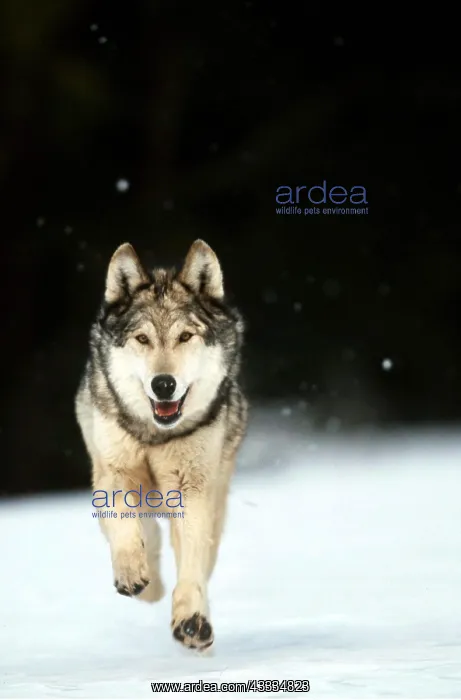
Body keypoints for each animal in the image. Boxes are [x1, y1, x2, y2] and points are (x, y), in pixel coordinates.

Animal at [75, 240, 247, 650]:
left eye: (185, 337)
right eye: (143, 339)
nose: (163, 384)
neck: (155, 435)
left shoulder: (191, 489)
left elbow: (191, 563)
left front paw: (191, 620)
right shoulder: (113, 472)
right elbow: (125, 527)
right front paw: (132, 573)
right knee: (145, 534)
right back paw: (147, 582)